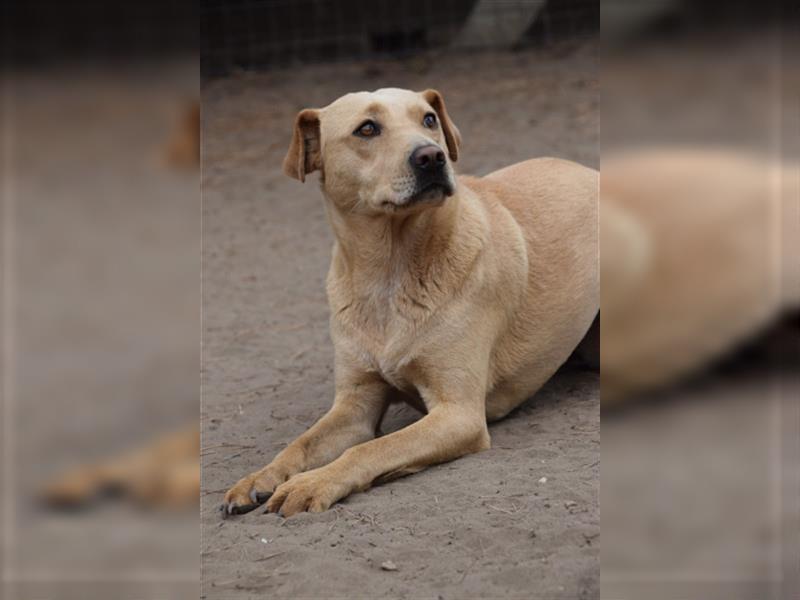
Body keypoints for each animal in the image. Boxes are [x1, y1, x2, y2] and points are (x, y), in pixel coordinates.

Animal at [222, 88, 596, 516]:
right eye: (367, 128)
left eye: (429, 119)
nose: (432, 156)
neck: (390, 272)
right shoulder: (355, 405)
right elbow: (300, 443)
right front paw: (259, 477)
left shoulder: (459, 414)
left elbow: (370, 449)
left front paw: (314, 482)